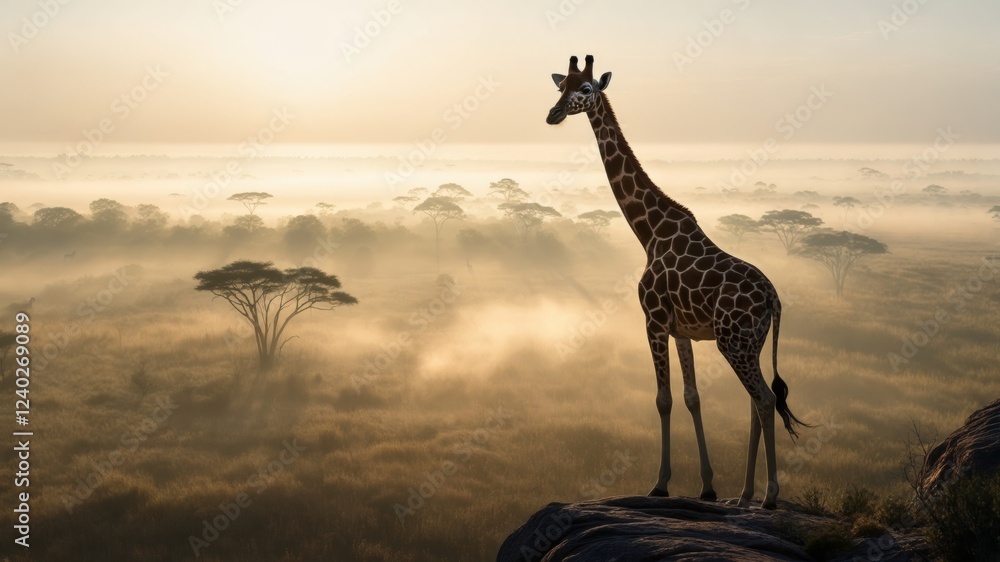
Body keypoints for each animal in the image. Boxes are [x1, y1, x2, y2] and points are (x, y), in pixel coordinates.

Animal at [546, 55, 808, 509]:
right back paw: (743, 495)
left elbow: (663, 400)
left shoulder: (652, 320)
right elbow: (692, 398)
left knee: (765, 398)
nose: (553, 114)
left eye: (586, 89)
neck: (649, 231)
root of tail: (775, 299)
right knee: (757, 401)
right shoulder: (681, 328)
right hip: (750, 343)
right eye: (561, 87)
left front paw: (660, 484)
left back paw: (769, 496)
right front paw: (707, 487)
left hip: (733, 342)